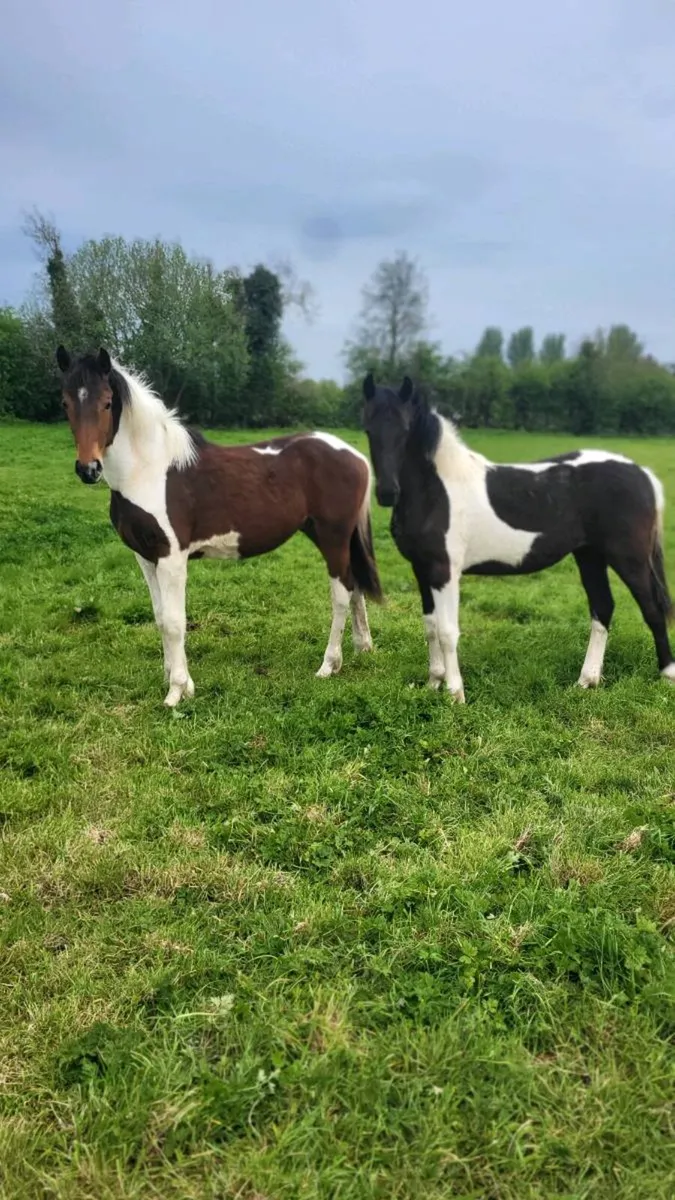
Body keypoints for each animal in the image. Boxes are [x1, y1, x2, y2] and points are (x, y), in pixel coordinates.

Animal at [56, 345, 382, 706]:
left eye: (107, 402)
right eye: (65, 403)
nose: (88, 469)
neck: (148, 470)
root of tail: (355, 456)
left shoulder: (171, 558)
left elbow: (175, 622)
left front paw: (177, 691)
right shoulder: (145, 557)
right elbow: (160, 617)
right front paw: (173, 677)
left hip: (332, 536)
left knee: (340, 593)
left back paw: (329, 665)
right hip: (330, 535)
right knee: (355, 585)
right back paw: (362, 647)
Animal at [362, 372, 675, 701]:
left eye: (404, 429)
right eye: (368, 429)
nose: (387, 493)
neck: (437, 491)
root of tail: (642, 474)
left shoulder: (444, 571)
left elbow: (448, 631)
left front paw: (455, 694)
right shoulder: (422, 571)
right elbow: (431, 625)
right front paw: (434, 682)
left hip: (629, 558)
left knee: (652, 609)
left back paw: (667, 675)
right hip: (590, 555)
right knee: (603, 608)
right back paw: (587, 680)